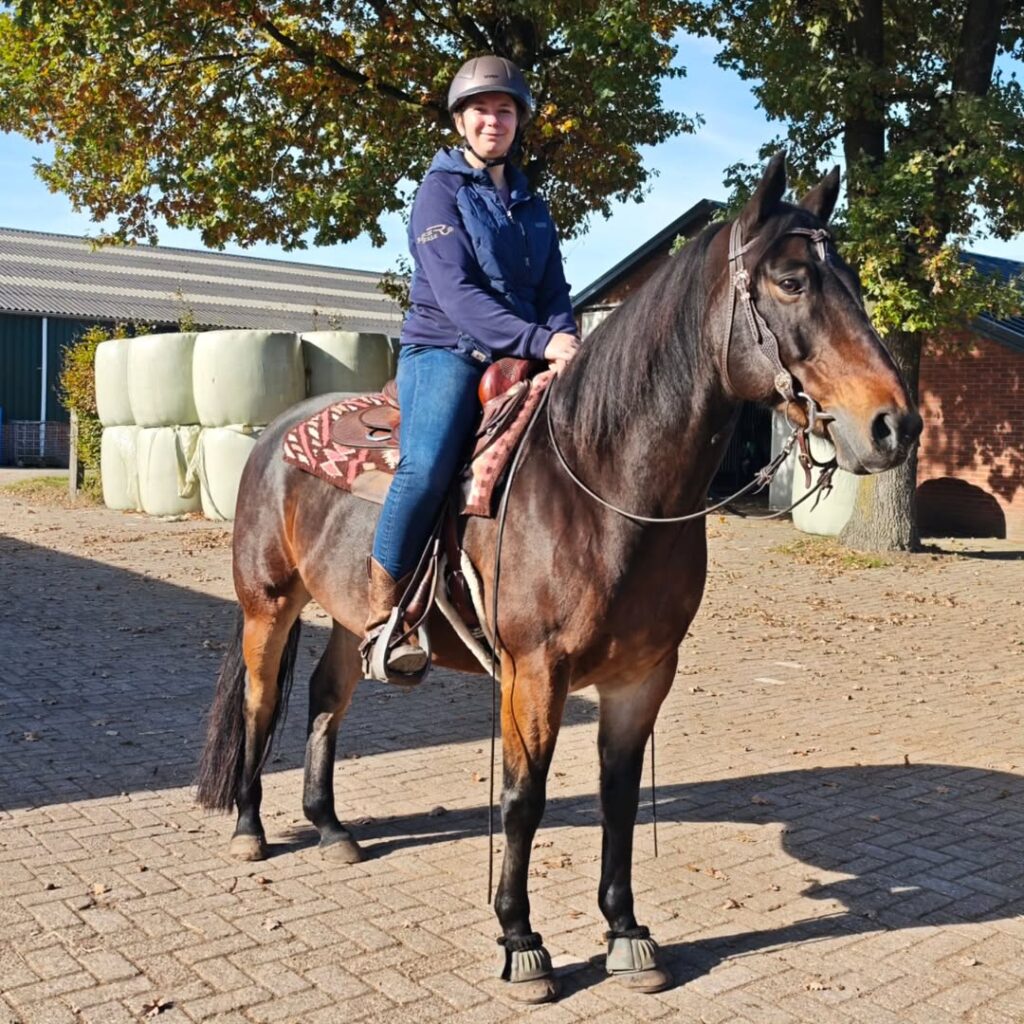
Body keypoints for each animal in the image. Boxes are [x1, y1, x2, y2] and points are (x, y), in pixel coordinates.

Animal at [195, 154, 922, 1002]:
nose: (894, 425)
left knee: (323, 698)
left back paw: (332, 827)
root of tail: (272, 435)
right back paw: (250, 827)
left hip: (353, 617)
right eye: (792, 280)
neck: (602, 484)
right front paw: (520, 941)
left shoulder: (643, 675)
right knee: (261, 701)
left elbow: (617, 800)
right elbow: (523, 800)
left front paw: (627, 933)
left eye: (855, 282)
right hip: (268, 605)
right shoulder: (533, 672)